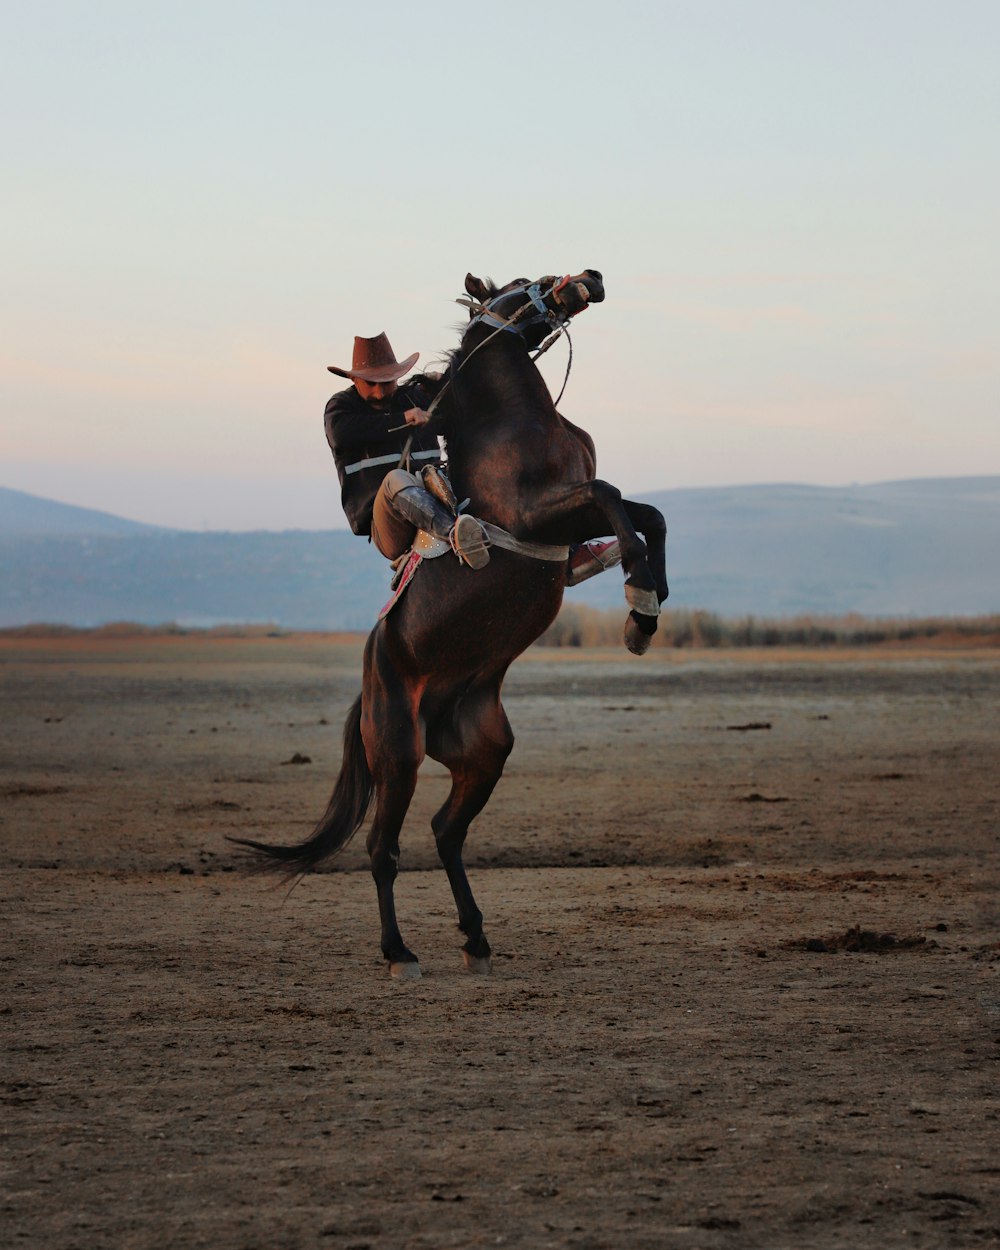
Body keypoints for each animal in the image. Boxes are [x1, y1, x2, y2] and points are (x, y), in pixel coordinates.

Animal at [238, 271, 670, 975]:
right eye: (522, 283)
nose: (591, 278)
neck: (516, 419)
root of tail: (371, 686)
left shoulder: (569, 514)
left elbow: (647, 513)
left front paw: (645, 610)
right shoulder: (541, 513)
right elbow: (611, 497)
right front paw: (635, 583)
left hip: (483, 753)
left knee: (445, 831)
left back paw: (476, 938)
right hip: (398, 756)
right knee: (383, 848)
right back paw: (399, 952)